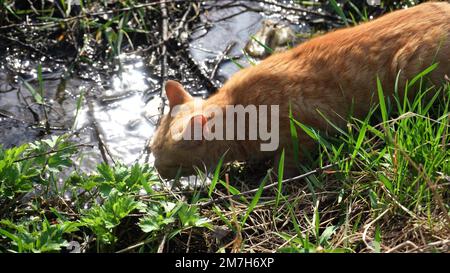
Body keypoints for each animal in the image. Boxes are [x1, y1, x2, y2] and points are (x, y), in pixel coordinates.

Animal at [151, 2, 450, 178]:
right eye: (151, 151)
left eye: (170, 164)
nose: (157, 171)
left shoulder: (303, 133)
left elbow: (286, 164)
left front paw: (270, 178)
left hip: (409, 70)